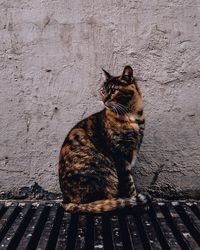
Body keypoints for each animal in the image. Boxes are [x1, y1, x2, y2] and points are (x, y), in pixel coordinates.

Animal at [58, 66, 149, 213]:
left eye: (113, 91)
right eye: (102, 91)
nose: (103, 100)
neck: (132, 115)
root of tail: (67, 202)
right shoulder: (120, 155)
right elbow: (129, 183)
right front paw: (137, 203)